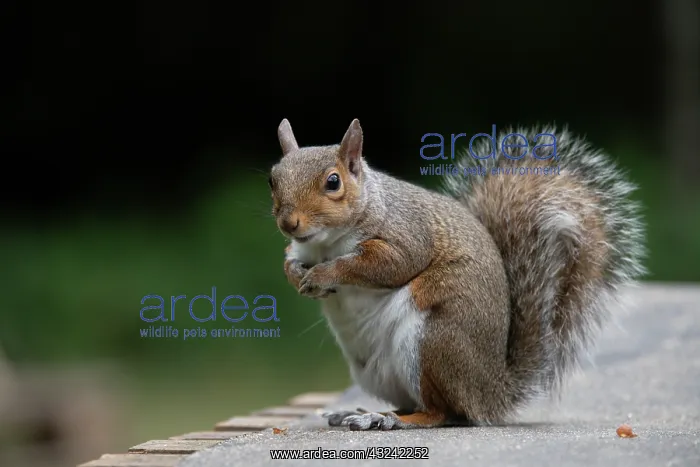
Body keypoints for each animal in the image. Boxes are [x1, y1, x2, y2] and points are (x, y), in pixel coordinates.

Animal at [268, 118, 645, 430]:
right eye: (273, 179)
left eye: (333, 182)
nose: (288, 223)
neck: (324, 243)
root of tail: (491, 390)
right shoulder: (300, 248)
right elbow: (289, 260)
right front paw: (297, 276)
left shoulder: (406, 235)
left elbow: (387, 264)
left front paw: (324, 275)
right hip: (380, 372)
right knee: (422, 404)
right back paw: (365, 412)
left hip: (433, 342)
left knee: (442, 412)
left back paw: (391, 419)